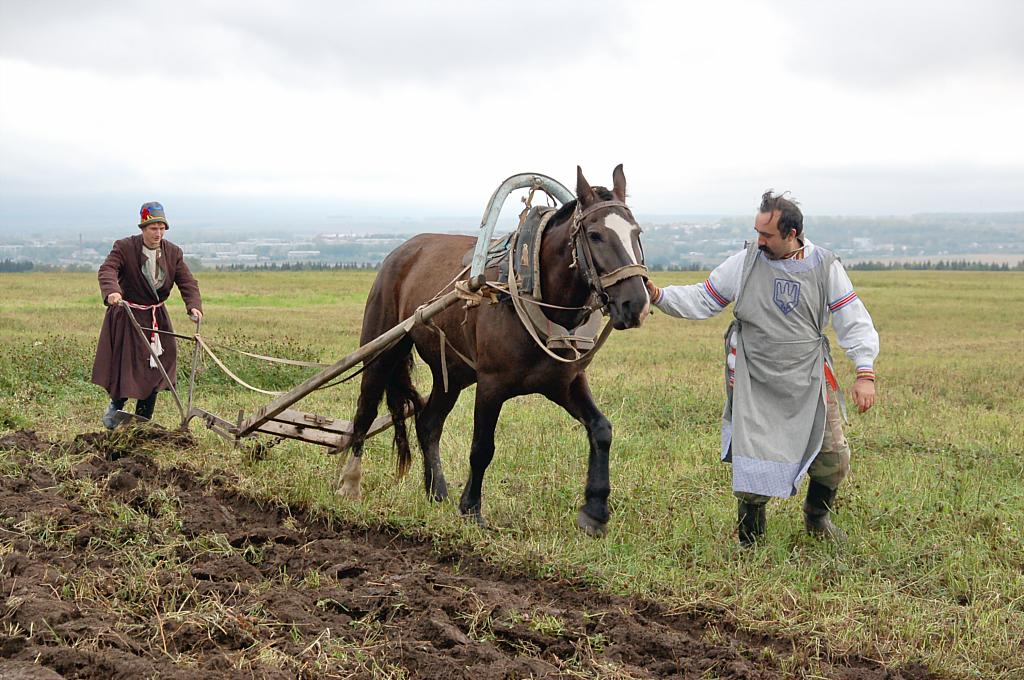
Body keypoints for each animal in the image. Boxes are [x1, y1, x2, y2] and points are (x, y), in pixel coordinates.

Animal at [339, 165, 651, 536]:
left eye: (637, 232)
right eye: (595, 235)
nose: (636, 304)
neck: (533, 290)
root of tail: (402, 251)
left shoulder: (565, 382)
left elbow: (601, 430)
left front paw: (595, 510)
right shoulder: (491, 385)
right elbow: (482, 447)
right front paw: (471, 508)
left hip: (452, 373)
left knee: (428, 423)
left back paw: (436, 491)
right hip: (383, 346)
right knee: (365, 410)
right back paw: (350, 484)